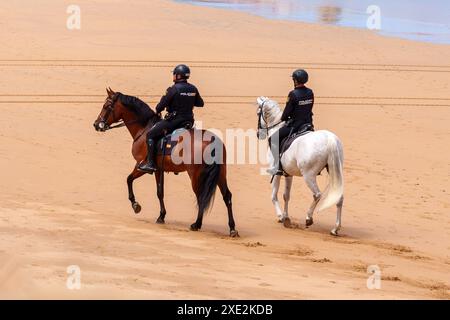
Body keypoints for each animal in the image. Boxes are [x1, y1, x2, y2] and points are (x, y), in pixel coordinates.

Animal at [92, 88, 239, 238]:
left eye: (106, 106)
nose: (96, 124)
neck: (144, 129)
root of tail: (212, 140)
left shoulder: (141, 165)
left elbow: (129, 180)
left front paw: (135, 205)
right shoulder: (159, 170)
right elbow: (160, 192)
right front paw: (161, 216)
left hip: (195, 175)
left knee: (201, 197)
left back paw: (196, 224)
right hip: (221, 174)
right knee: (227, 197)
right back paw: (232, 228)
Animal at [256, 95, 344, 235]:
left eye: (258, 113)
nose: (259, 134)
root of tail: (330, 139)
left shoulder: (276, 173)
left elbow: (274, 195)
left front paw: (281, 216)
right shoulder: (288, 174)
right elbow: (286, 196)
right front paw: (286, 217)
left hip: (309, 175)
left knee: (317, 194)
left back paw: (309, 218)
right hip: (334, 171)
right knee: (339, 198)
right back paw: (335, 229)